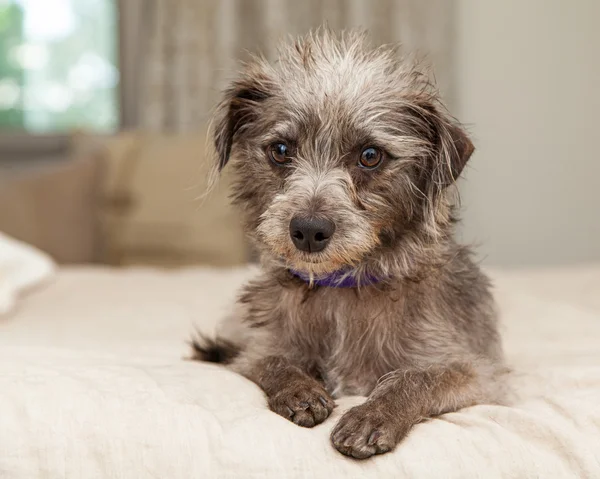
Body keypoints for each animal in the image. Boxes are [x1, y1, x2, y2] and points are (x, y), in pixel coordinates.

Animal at [193, 30, 506, 462]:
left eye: (370, 156)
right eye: (280, 150)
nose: (308, 229)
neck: (342, 287)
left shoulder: (478, 375)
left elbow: (419, 378)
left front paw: (373, 415)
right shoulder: (252, 351)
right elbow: (269, 360)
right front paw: (299, 388)